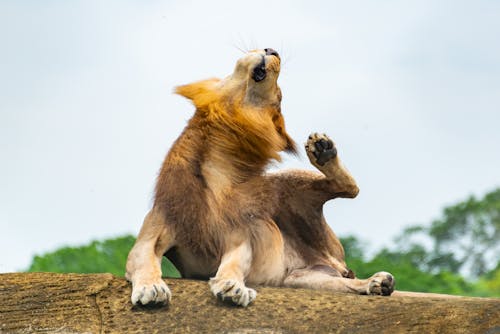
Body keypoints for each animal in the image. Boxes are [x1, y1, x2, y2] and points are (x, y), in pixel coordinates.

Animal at [127, 48, 396, 306]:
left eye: (279, 96)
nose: (272, 50)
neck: (216, 169)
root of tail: (332, 262)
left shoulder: (240, 235)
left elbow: (235, 262)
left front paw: (232, 286)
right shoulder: (153, 232)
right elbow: (143, 260)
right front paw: (151, 288)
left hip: (288, 182)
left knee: (349, 188)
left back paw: (323, 150)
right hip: (302, 279)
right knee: (343, 283)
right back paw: (375, 284)